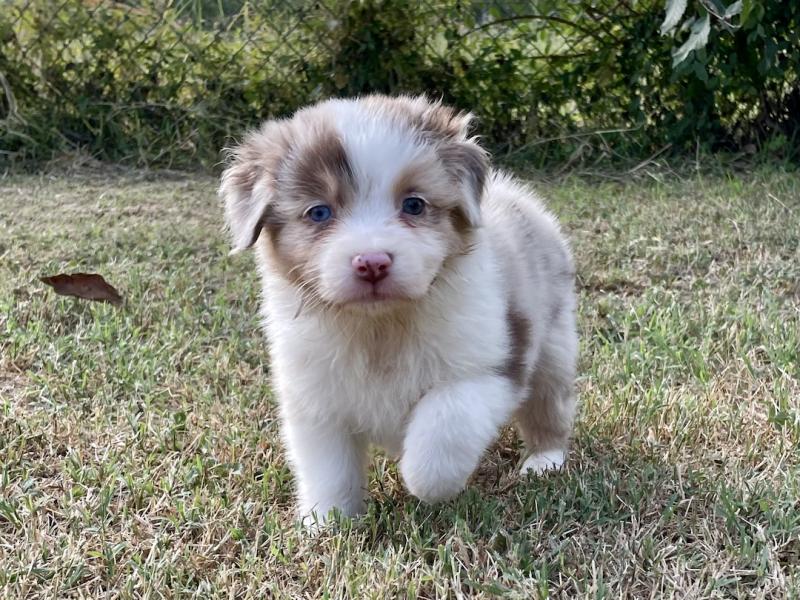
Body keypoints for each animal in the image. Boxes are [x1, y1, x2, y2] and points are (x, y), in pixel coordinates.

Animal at [222, 95, 580, 524]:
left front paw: (424, 481)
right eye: (319, 212)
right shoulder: (315, 399)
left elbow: (446, 422)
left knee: (548, 405)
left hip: (553, 346)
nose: (372, 263)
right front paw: (327, 522)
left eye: (414, 204)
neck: (380, 327)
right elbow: (328, 466)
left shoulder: (491, 365)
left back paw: (544, 461)